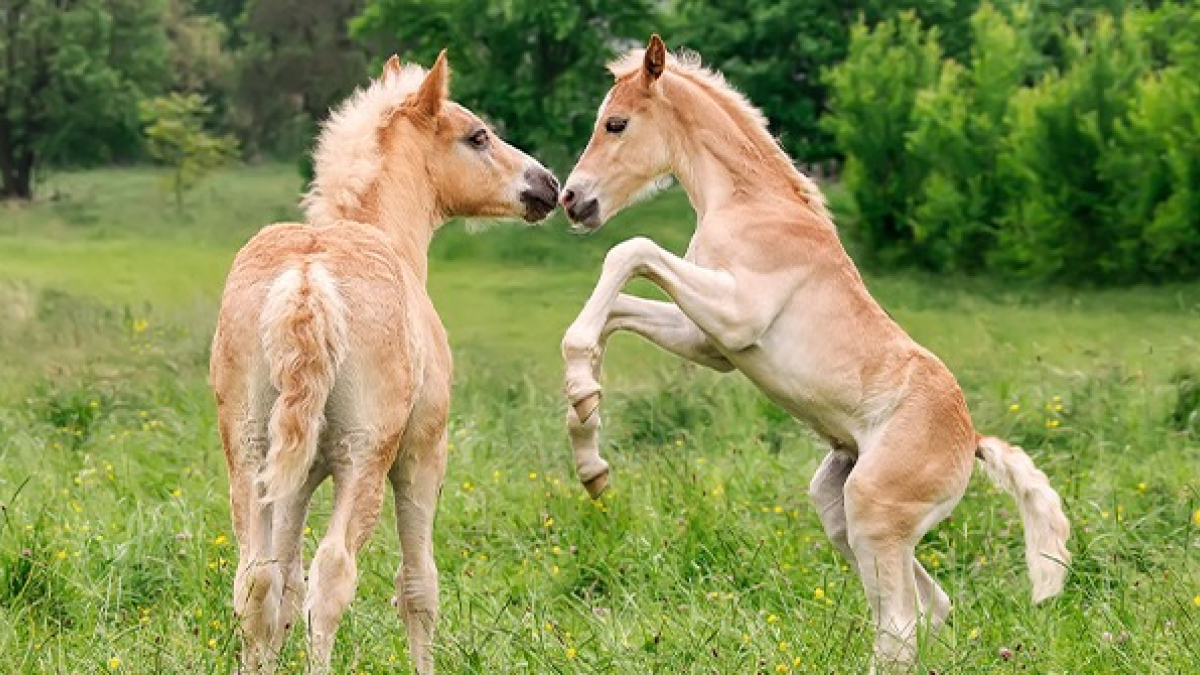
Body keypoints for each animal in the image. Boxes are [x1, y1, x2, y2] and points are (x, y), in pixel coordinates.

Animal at [210, 53, 556, 672]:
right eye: (478, 136)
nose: (548, 184)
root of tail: (307, 280)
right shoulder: (423, 454)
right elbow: (418, 585)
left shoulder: (295, 479)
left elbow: (282, 586)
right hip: (364, 457)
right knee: (331, 575)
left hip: (250, 453)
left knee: (256, 581)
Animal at [556, 35, 1075, 667]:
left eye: (616, 123)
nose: (572, 199)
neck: (752, 204)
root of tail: (971, 439)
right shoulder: (712, 341)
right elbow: (617, 310)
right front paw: (588, 438)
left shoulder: (736, 316)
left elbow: (630, 252)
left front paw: (585, 406)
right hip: (842, 509)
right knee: (930, 607)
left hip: (874, 511)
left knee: (900, 627)